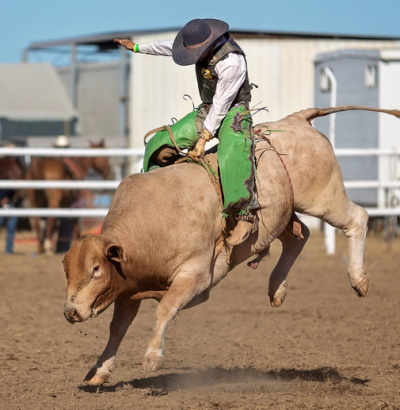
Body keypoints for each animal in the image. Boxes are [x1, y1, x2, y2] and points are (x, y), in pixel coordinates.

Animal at [62, 105, 400, 384]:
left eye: (95, 269)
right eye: (67, 271)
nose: (70, 313)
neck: (151, 226)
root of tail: (297, 120)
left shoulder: (196, 276)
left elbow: (165, 309)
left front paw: (152, 357)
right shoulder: (128, 288)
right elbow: (117, 328)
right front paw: (98, 371)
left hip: (323, 198)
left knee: (357, 218)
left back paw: (358, 279)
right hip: (281, 214)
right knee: (298, 235)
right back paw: (276, 287)